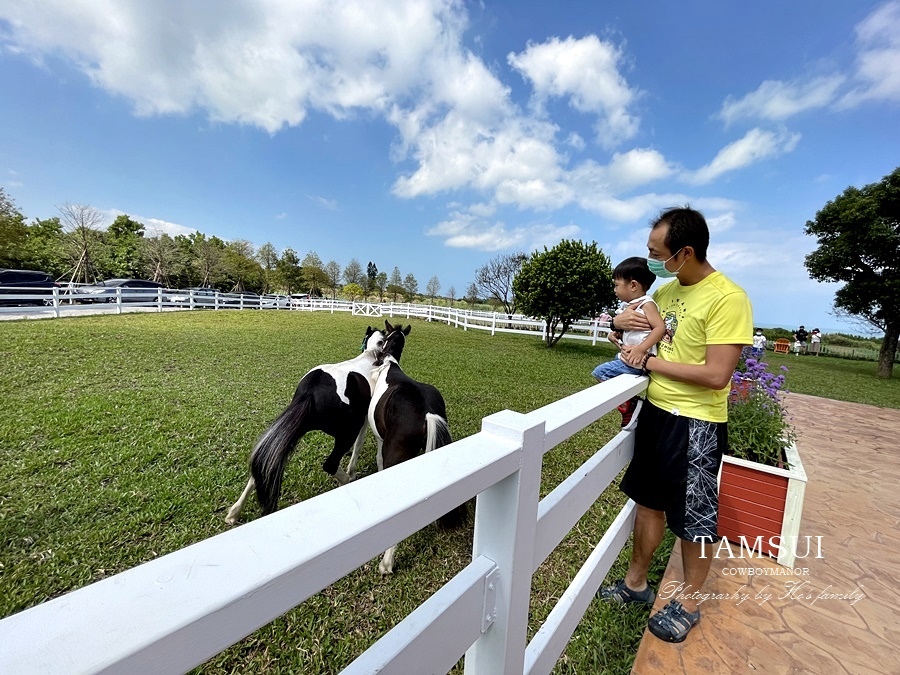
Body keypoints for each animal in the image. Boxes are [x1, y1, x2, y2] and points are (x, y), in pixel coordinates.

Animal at [225, 324, 386, 524]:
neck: (370, 356)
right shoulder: (362, 421)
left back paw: (234, 513)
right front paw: (352, 472)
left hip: (293, 432)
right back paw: (347, 482)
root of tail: (309, 393)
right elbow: (358, 445)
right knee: (330, 464)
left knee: (264, 466)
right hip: (345, 432)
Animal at [366, 324, 468, 576]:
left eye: (385, 337)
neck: (389, 364)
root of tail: (426, 413)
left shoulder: (382, 443)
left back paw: (387, 563)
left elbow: (379, 461)